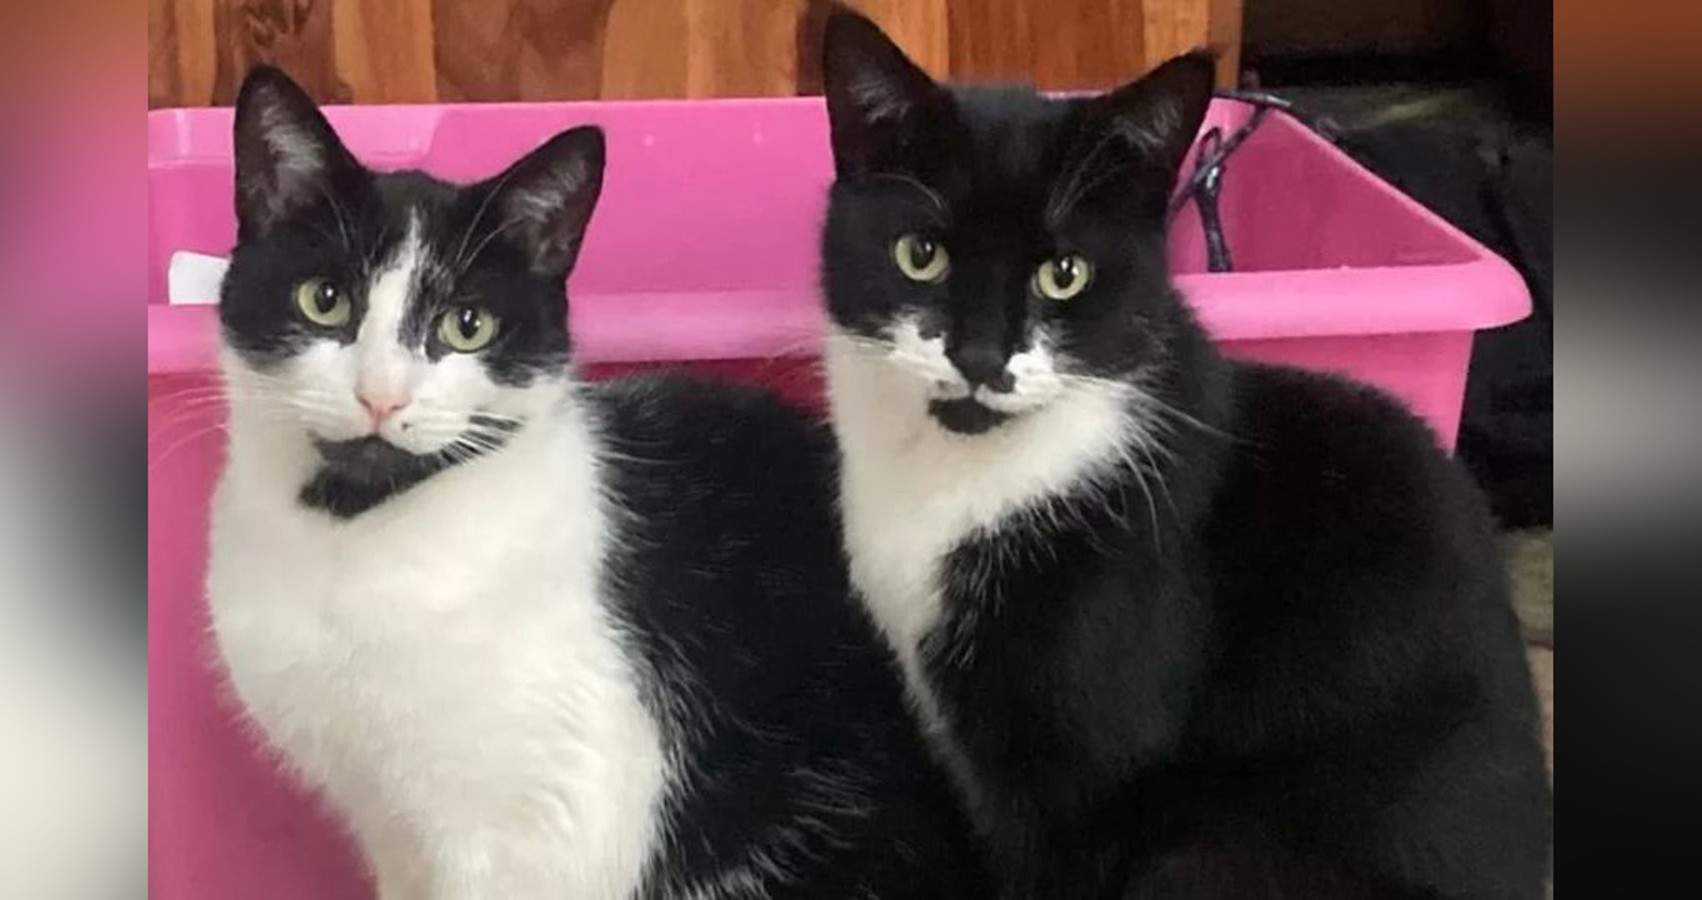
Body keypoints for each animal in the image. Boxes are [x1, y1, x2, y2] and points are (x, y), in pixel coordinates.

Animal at [205, 66, 985, 900]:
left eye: (467, 326)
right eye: (325, 300)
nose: (381, 395)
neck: (351, 533)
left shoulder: (544, 819)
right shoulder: (394, 832)